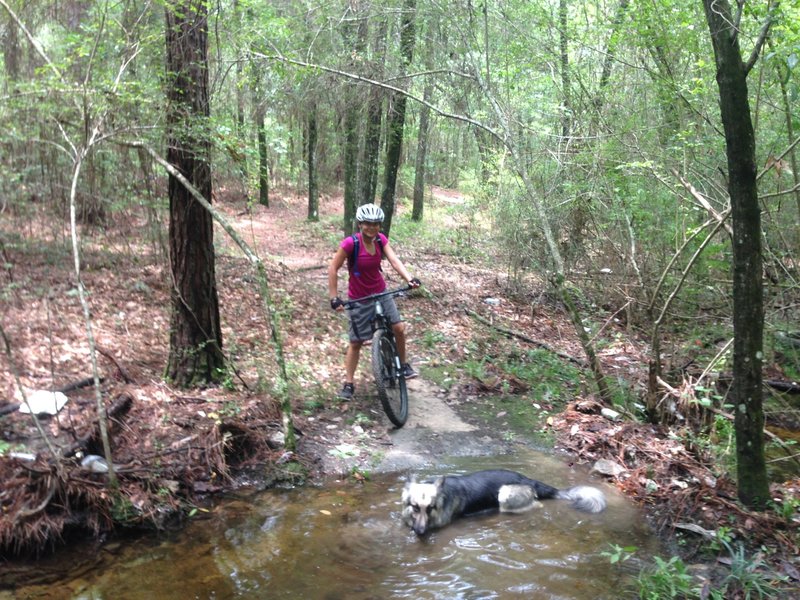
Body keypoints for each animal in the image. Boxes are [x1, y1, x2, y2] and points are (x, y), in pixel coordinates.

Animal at [400, 468, 608, 536]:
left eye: (431, 509)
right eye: (415, 507)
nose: (420, 532)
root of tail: (529, 480)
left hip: (505, 494)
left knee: (536, 504)